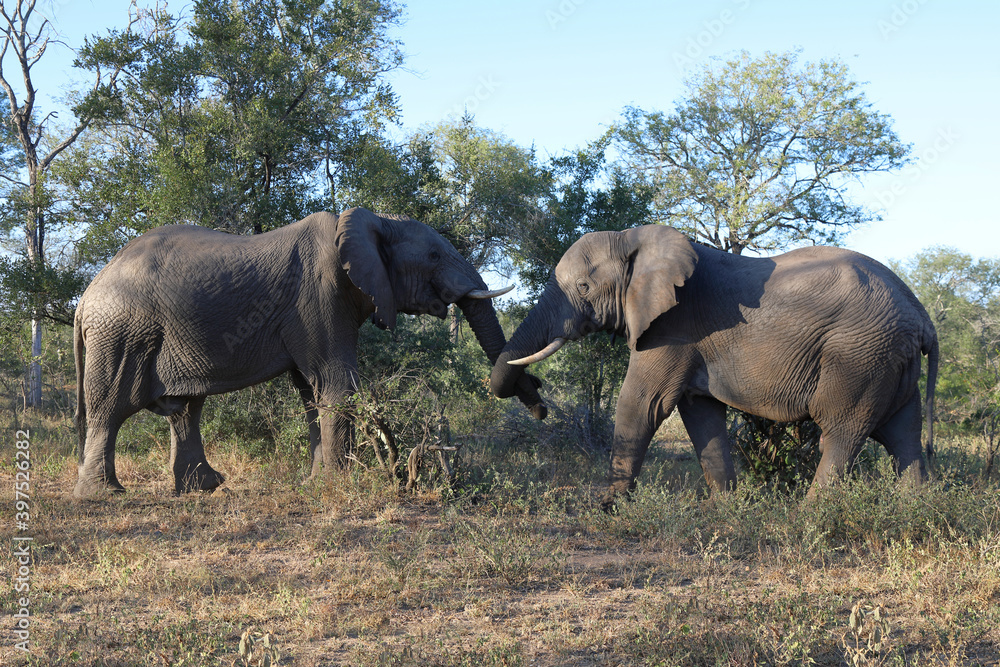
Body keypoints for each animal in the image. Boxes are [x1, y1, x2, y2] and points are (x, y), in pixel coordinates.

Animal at [74, 207, 546, 498]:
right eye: (433, 255)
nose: (540, 404)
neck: (368, 221)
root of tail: (85, 297)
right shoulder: (318, 295)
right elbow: (336, 383)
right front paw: (338, 485)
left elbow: (311, 391)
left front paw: (317, 483)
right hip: (122, 332)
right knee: (110, 407)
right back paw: (104, 494)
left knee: (185, 409)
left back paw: (203, 487)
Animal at [490, 225, 938, 505]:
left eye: (584, 287)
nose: (540, 400)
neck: (635, 239)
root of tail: (921, 315)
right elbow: (699, 414)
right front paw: (726, 507)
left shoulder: (672, 328)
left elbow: (642, 404)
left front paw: (606, 507)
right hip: (888, 359)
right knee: (903, 435)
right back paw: (915, 511)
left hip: (859, 356)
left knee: (842, 432)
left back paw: (809, 515)